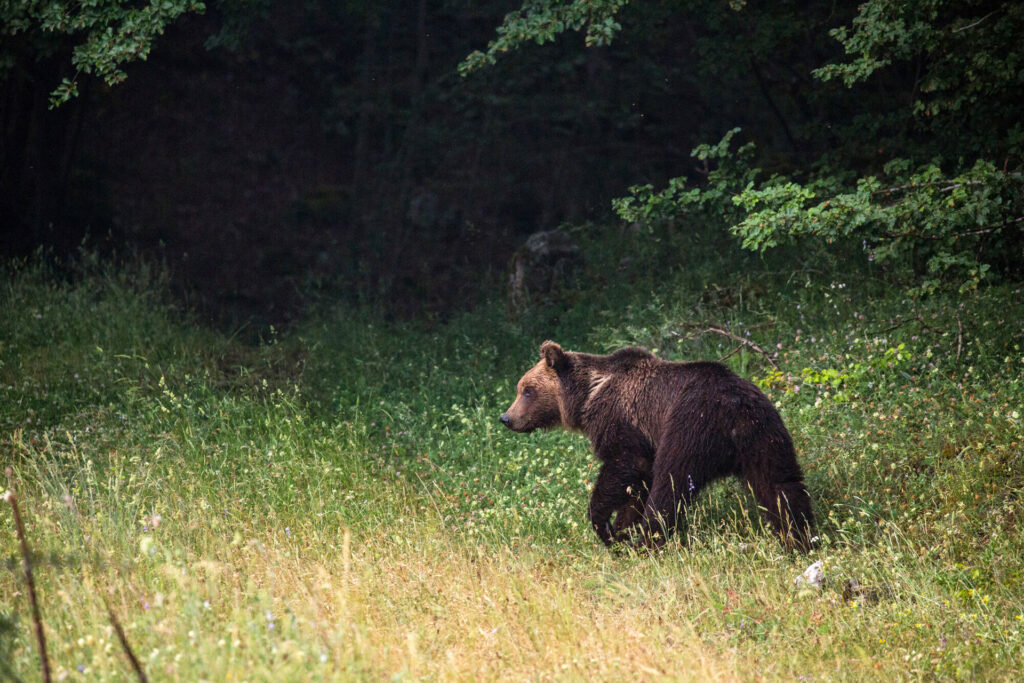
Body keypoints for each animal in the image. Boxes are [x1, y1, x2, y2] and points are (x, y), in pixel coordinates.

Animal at [499, 342, 811, 548]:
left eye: (527, 390)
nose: (507, 418)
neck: (588, 396)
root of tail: (734, 408)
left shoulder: (623, 423)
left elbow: (625, 467)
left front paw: (606, 526)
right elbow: (635, 486)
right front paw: (621, 527)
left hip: (688, 429)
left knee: (670, 486)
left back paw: (647, 540)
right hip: (765, 434)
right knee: (782, 485)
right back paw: (800, 538)